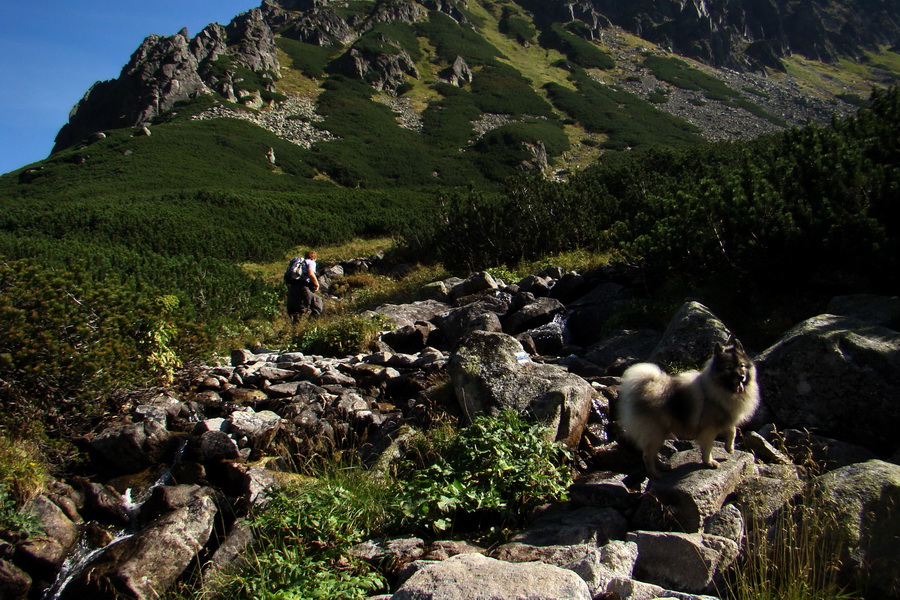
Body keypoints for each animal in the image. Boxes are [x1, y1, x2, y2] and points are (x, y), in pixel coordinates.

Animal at [620, 338, 760, 478]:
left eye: (742, 365)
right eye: (729, 368)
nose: (741, 377)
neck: (719, 390)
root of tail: (643, 389)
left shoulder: (727, 418)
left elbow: (732, 431)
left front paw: (729, 448)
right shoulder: (709, 429)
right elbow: (708, 447)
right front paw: (709, 462)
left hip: (660, 433)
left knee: (652, 454)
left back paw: (664, 466)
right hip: (656, 433)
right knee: (647, 455)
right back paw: (655, 474)